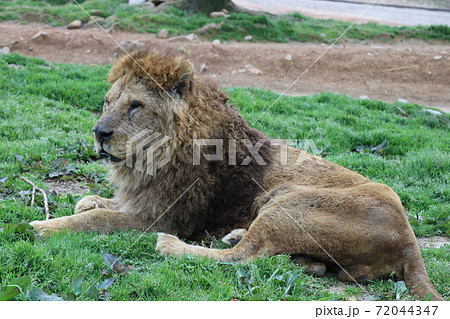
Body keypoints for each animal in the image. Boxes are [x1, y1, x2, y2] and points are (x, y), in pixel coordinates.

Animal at [30, 49, 442, 300]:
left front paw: (42, 227)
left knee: (243, 257)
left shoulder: (164, 218)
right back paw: (244, 237)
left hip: (287, 203)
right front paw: (86, 202)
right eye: (106, 102)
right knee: (287, 259)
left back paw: (175, 246)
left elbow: (98, 219)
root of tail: (410, 240)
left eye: (135, 106)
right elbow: (94, 204)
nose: (99, 132)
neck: (150, 158)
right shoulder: (143, 200)